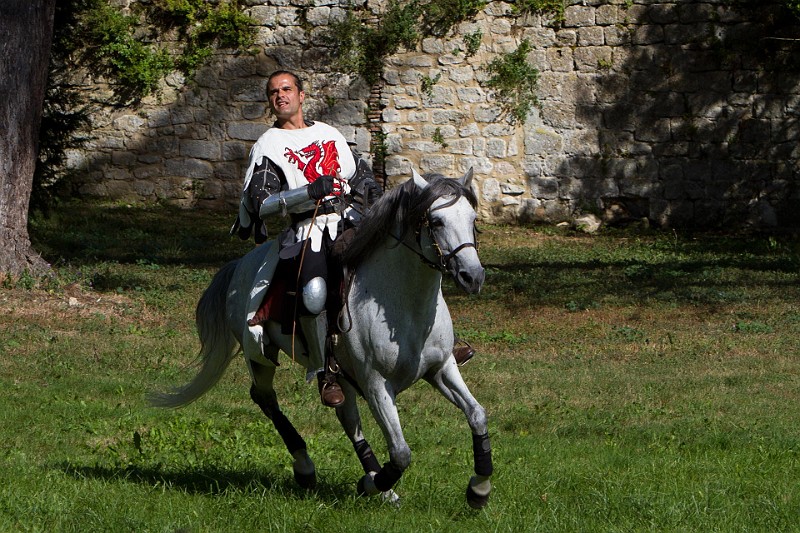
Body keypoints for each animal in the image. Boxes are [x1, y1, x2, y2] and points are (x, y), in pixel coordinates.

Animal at [147, 168, 490, 504]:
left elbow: (477, 415)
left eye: (472, 219)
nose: (472, 277)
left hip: (341, 377)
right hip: (260, 354)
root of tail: (241, 265)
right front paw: (372, 484)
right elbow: (401, 454)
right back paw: (307, 467)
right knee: (266, 394)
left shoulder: (441, 368)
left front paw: (479, 488)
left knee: (347, 418)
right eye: (436, 221)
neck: (402, 305)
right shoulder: (376, 384)